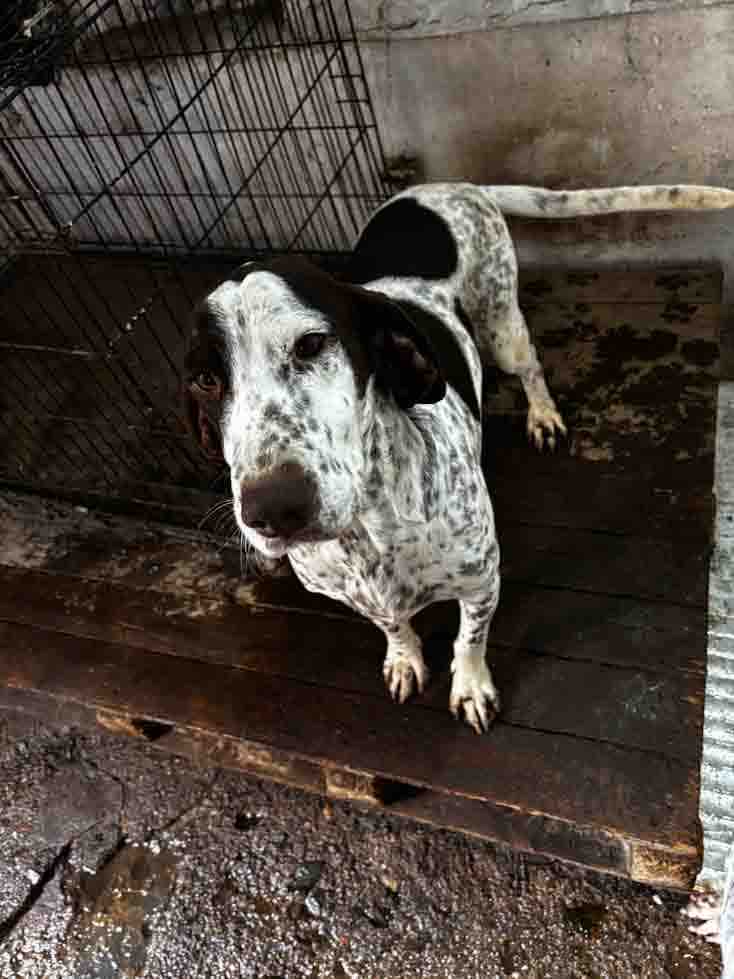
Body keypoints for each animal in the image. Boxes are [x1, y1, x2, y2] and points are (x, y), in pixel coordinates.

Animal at [183, 182, 734, 733]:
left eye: (312, 343)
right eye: (204, 380)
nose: (273, 510)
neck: (369, 535)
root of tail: (453, 187)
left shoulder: (481, 583)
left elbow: (470, 639)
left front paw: (470, 687)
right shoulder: (364, 601)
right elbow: (394, 627)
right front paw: (405, 658)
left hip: (503, 324)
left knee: (530, 367)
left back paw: (543, 415)